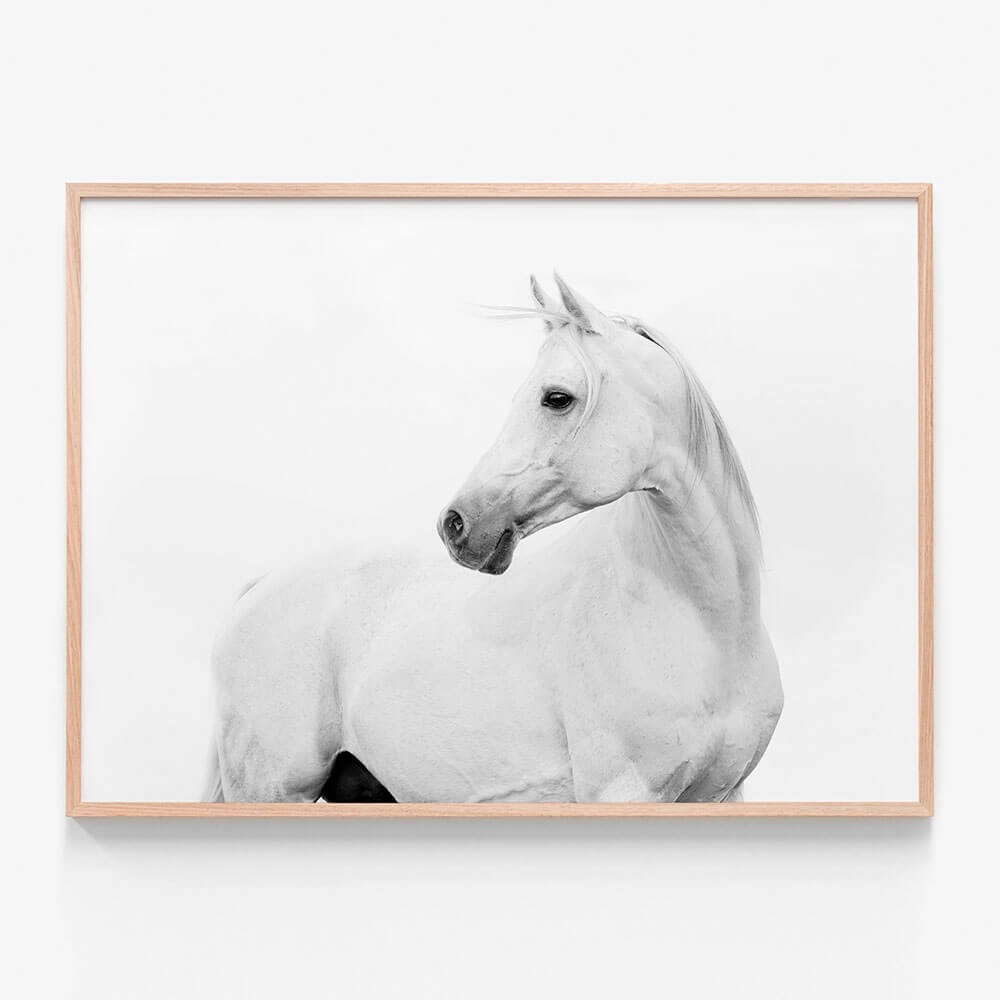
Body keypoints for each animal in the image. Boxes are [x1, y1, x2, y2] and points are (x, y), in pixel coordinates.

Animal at [204, 275, 783, 803]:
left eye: (556, 398)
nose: (456, 524)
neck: (704, 627)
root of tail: (260, 587)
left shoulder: (723, 793)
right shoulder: (623, 791)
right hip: (272, 789)